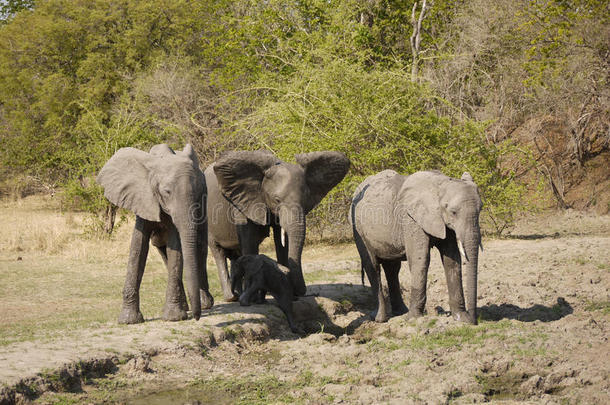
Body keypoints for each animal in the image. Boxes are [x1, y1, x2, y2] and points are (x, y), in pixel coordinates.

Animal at [96, 144, 213, 324]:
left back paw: (204, 304)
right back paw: (187, 307)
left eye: (199, 192)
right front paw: (128, 320)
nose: (197, 318)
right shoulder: (143, 199)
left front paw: (173, 318)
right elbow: (138, 247)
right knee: (164, 250)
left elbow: (176, 247)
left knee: (199, 247)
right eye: (167, 192)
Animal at [204, 150, 346, 298]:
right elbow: (250, 242)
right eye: (277, 200)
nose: (301, 292)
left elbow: (282, 244)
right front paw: (255, 297)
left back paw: (238, 293)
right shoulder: (242, 204)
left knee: (235, 256)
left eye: (306, 199)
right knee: (218, 252)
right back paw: (231, 297)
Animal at [350, 169, 482, 324]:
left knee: (392, 269)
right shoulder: (411, 219)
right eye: (453, 212)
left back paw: (401, 312)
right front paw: (414, 318)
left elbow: (452, 261)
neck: (439, 184)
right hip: (357, 227)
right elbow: (420, 260)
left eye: (480, 210)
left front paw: (461, 318)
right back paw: (380, 318)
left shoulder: (444, 223)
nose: (474, 321)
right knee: (372, 265)